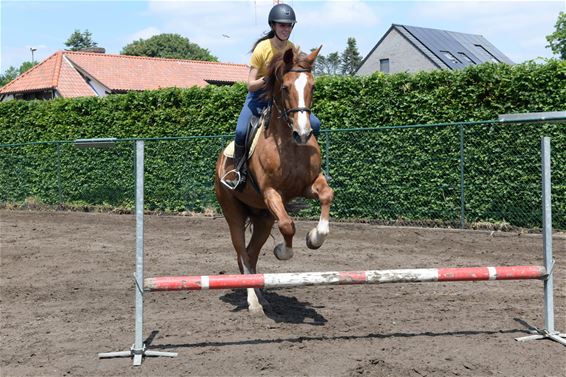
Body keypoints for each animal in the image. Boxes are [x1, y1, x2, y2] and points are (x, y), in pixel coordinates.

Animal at [215, 46, 336, 314]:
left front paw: (315, 238)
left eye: (312, 87)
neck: (289, 143)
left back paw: (262, 297)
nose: (303, 134)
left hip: (263, 218)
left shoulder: (308, 185)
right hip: (233, 213)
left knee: (251, 253)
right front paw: (282, 251)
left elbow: (326, 195)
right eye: (285, 88)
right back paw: (253, 302)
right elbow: (288, 225)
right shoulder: (272, 192)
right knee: (242, 252)